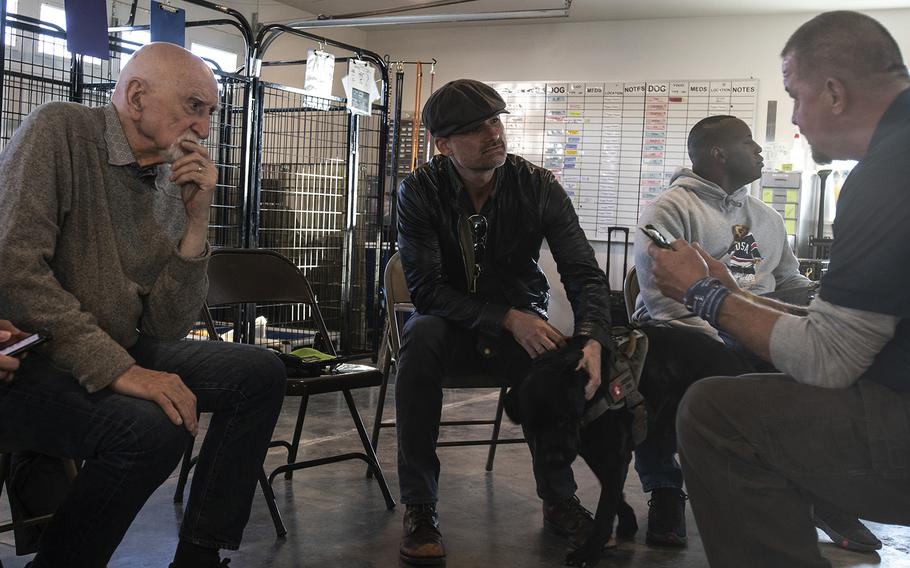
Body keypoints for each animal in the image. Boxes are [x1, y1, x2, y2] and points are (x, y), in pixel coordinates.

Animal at [502, 336, 644, 564]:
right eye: (531, 427)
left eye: (562, 419)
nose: (553, 459)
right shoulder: (593, 452)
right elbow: (612, 492)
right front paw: (628, 520)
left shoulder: (615, 455)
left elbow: (605, 509)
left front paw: (589, 553)